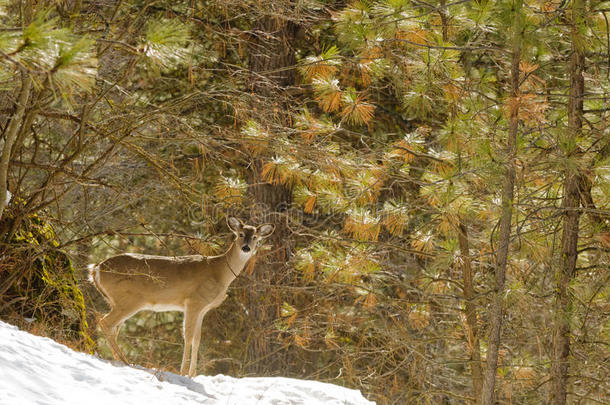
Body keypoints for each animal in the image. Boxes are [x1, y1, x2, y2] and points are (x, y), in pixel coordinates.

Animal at [88, 218, 274, 376]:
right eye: (240, 234)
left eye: (255, 237)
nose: (246, 247)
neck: (219, 271)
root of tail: (96, 268)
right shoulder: (193, 301)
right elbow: (188, 337)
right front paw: (184, 372)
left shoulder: (203, 309)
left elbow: (198, 339)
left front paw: (193, 374)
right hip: (129, 300)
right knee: (105, 322)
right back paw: (125, 360)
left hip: (116, 301)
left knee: (112, 327)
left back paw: (119, 359)